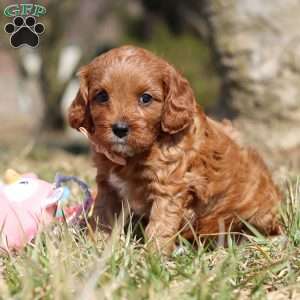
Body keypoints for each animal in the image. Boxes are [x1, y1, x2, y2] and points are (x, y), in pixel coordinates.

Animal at [68, 45, 282, 254]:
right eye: (102, 96)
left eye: (145, 98)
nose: (119, 129)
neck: (139, 152)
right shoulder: (109, 187)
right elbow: (101, 219)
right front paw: (94, 250)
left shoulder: (168, 189)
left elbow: (159, 226)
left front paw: (153, 257)